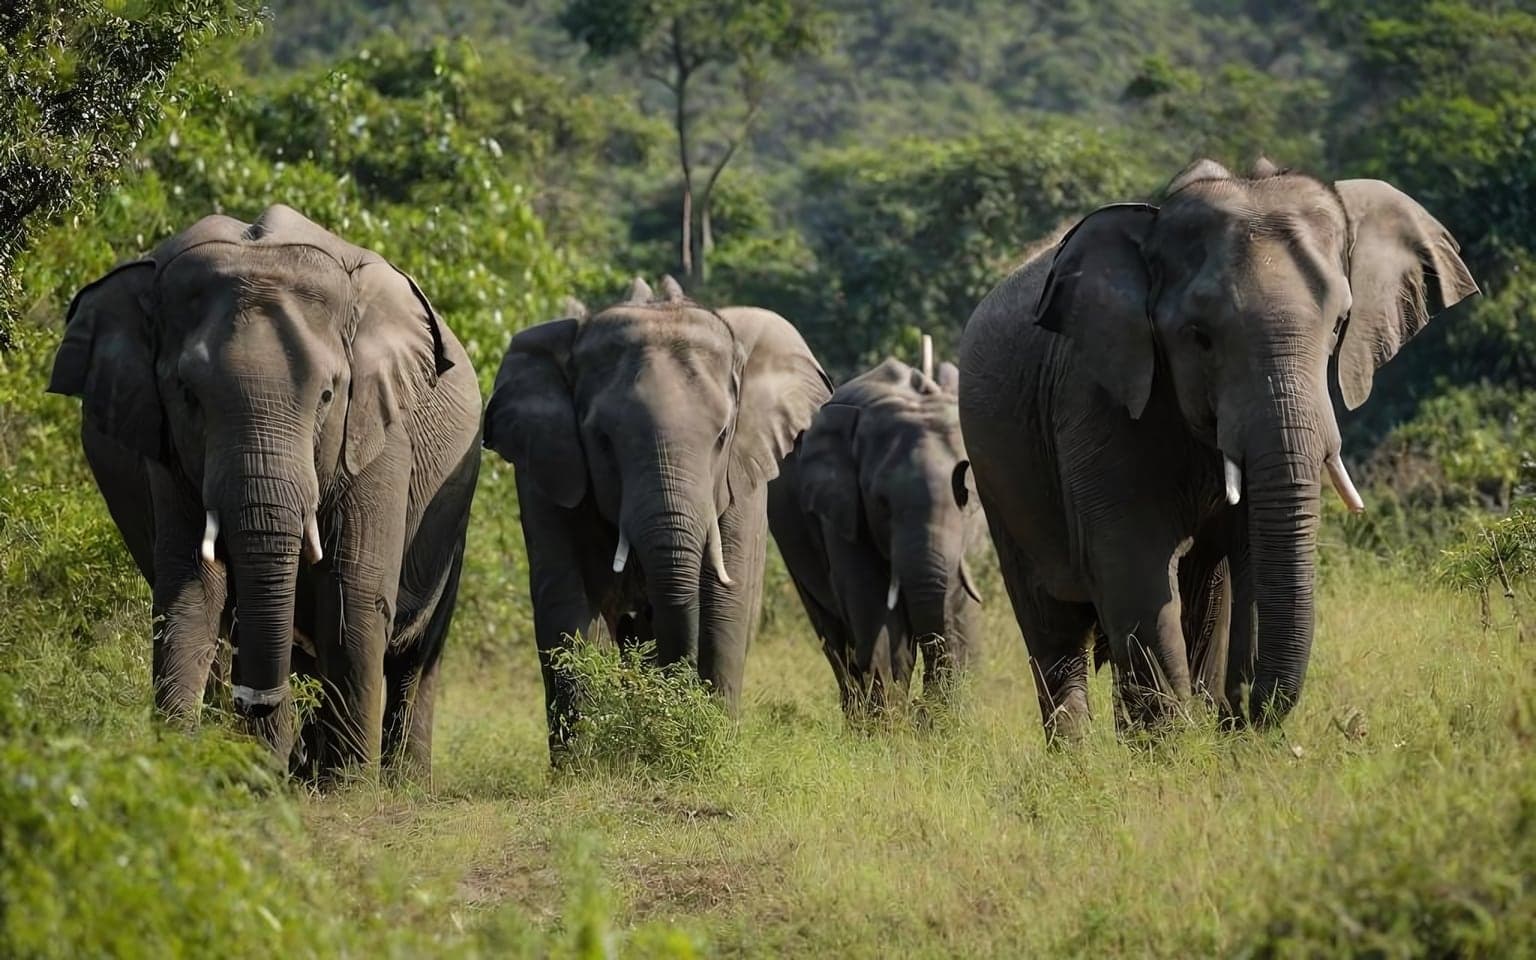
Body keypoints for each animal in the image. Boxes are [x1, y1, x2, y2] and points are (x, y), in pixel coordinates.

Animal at [47, 204, 483, 779]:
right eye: (188, 395)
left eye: (328, 396)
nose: (253, 704)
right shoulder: (165, 449)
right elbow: (192, 588)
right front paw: (186, 765)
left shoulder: (380, 433)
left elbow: (356, 590)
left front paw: (346, 786)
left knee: (416, 655)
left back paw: (394, 781)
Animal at [482, 276, 831, 756]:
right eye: (602, 440)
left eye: (723, 435)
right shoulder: (547, 471)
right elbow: (567, 605)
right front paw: (584, 765)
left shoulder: (741, 480)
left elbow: (724, 604)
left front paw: (706, 745)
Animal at [768, 357, 985, 716]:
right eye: (882, 503)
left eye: (965, 496)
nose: (921, 710)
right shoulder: (841, 510)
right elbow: (872, 608)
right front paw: (892, 723)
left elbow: (956, 608)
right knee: (833, 637)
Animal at [958, 158, 1477, 738]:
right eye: (1199, 336)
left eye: (1340, 325)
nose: (1247, 712)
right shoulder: (1094, 402)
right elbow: (1133, 564)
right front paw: (1172, 748)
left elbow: (1248, 557)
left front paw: (1222, 734)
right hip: (998, 483)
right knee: (1052, 627)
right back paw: (1082, 751)